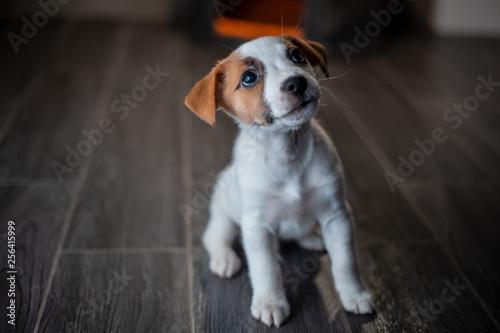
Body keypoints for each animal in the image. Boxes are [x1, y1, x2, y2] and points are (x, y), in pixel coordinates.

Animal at [186, 35, 374, 326]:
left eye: (297, 56)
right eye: (249, 78)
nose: (297, 82)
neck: (288, 154)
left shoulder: (337, 215)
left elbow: (346, 261)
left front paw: (355, 294)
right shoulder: (256, 226)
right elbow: (265, 269)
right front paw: (270, 302)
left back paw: (311, 238)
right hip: (225, 216)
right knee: (215, 236)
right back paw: (225, 259)